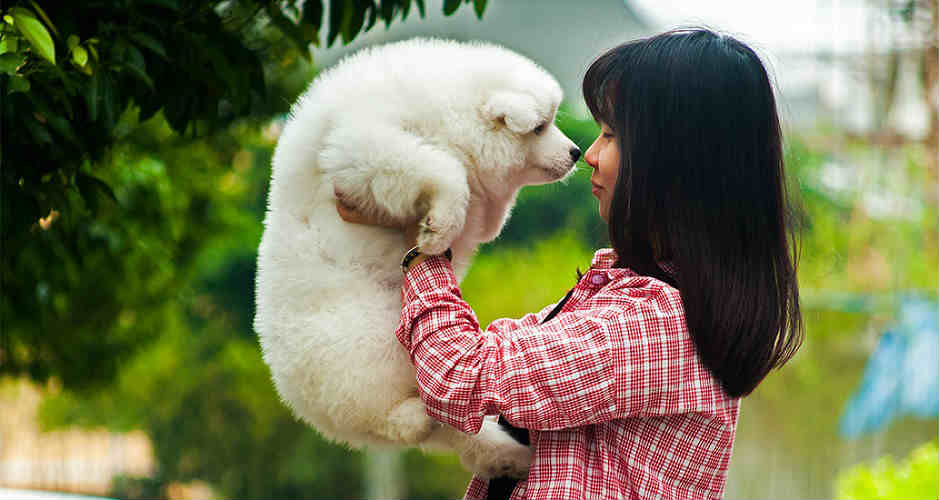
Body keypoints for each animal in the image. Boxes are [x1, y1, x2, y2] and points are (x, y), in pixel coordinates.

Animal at [255, 38, 580, 476]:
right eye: (540, 127)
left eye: (551, 121)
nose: (576, 151)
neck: (450, 111)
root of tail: (298, 397)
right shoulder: (364, 143)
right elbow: (443, 169)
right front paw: (438, 229)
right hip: (365, 342)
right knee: (387, 416)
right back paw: (418, 419)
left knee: (458, 430)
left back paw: (513, 458)